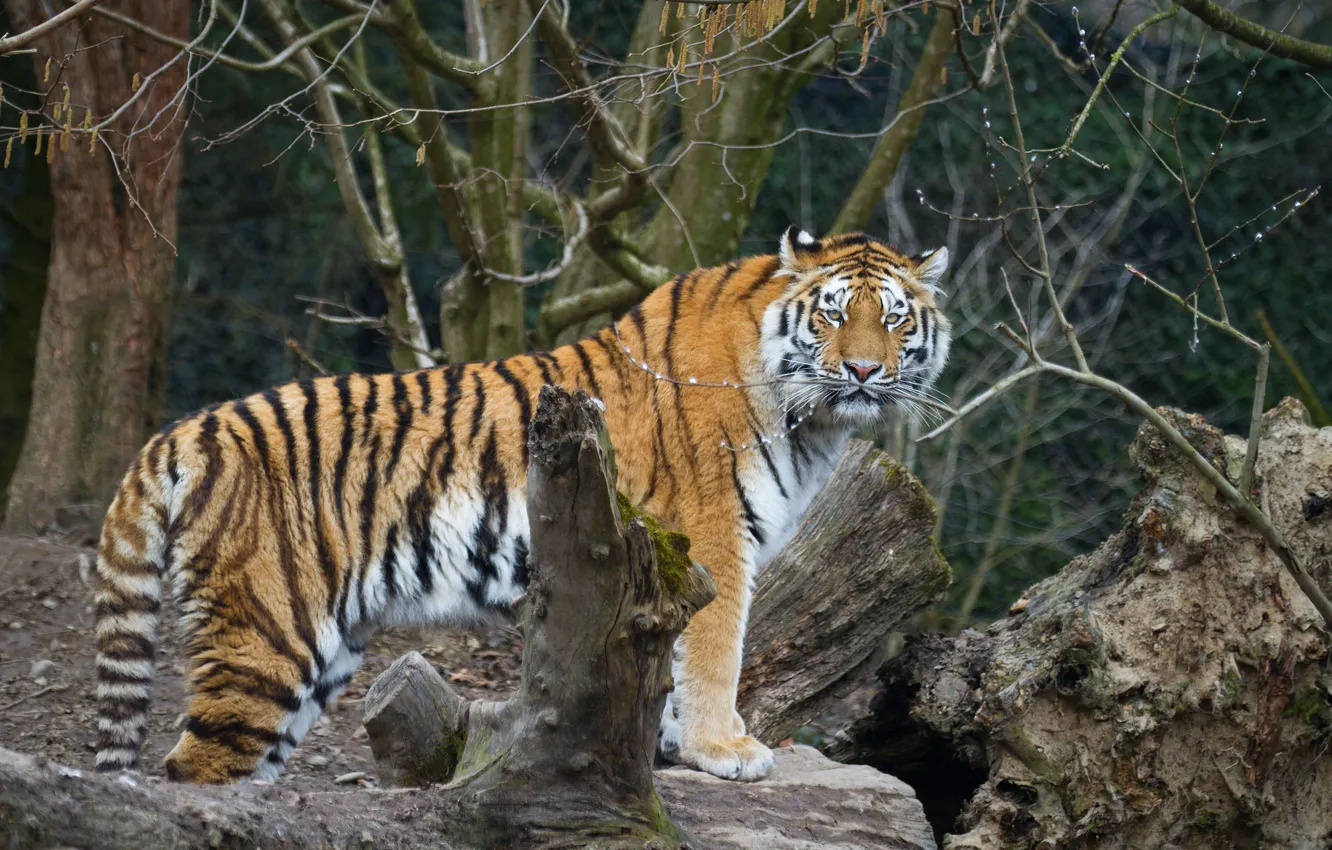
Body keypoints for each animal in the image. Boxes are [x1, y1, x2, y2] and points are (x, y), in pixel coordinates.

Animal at [92, 228, 951, 784]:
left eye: (894, 317)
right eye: (833, 313)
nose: (865, 371)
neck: (814, 416)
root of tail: (184, 429)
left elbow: (681, 658)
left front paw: (677, 747)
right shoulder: (713, 534)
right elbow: (717, 651)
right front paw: (724, 749)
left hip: (319, 649)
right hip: (267, 629)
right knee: (194, 770)